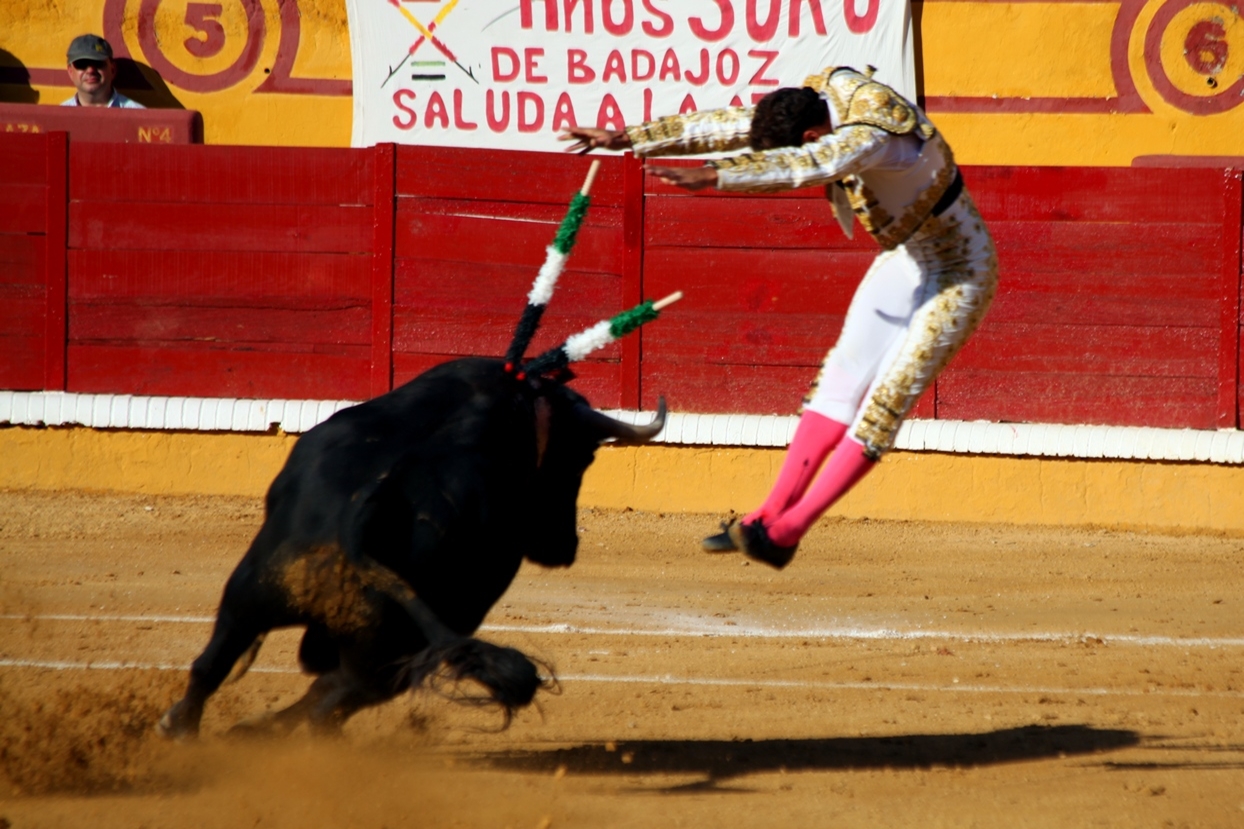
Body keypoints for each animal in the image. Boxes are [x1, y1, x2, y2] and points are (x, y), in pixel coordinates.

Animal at [159, 355, 666, 736]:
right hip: (397, 641)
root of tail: (365, 513)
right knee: (334, 700)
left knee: (216, 662)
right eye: (584, 457)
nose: (565, 546)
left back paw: (188, 729)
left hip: (256, 590)